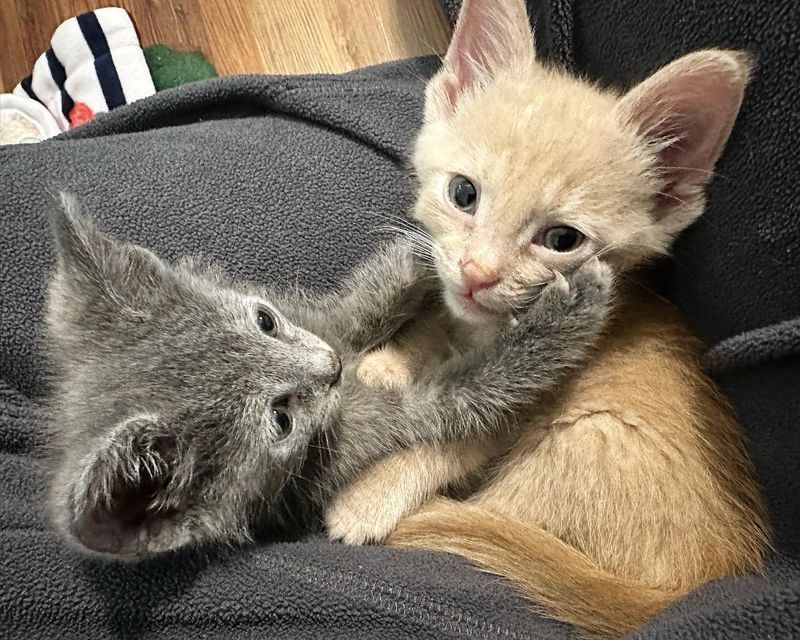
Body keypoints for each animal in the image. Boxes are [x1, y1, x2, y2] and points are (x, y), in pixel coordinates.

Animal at [43, 195, 612, 560]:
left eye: (266, 319)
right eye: (280, 419)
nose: (332, 369)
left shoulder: (322, 323)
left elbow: (368, 299)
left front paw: (431, 247)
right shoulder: (361, 435)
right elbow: (469, 394)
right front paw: (564, 314)